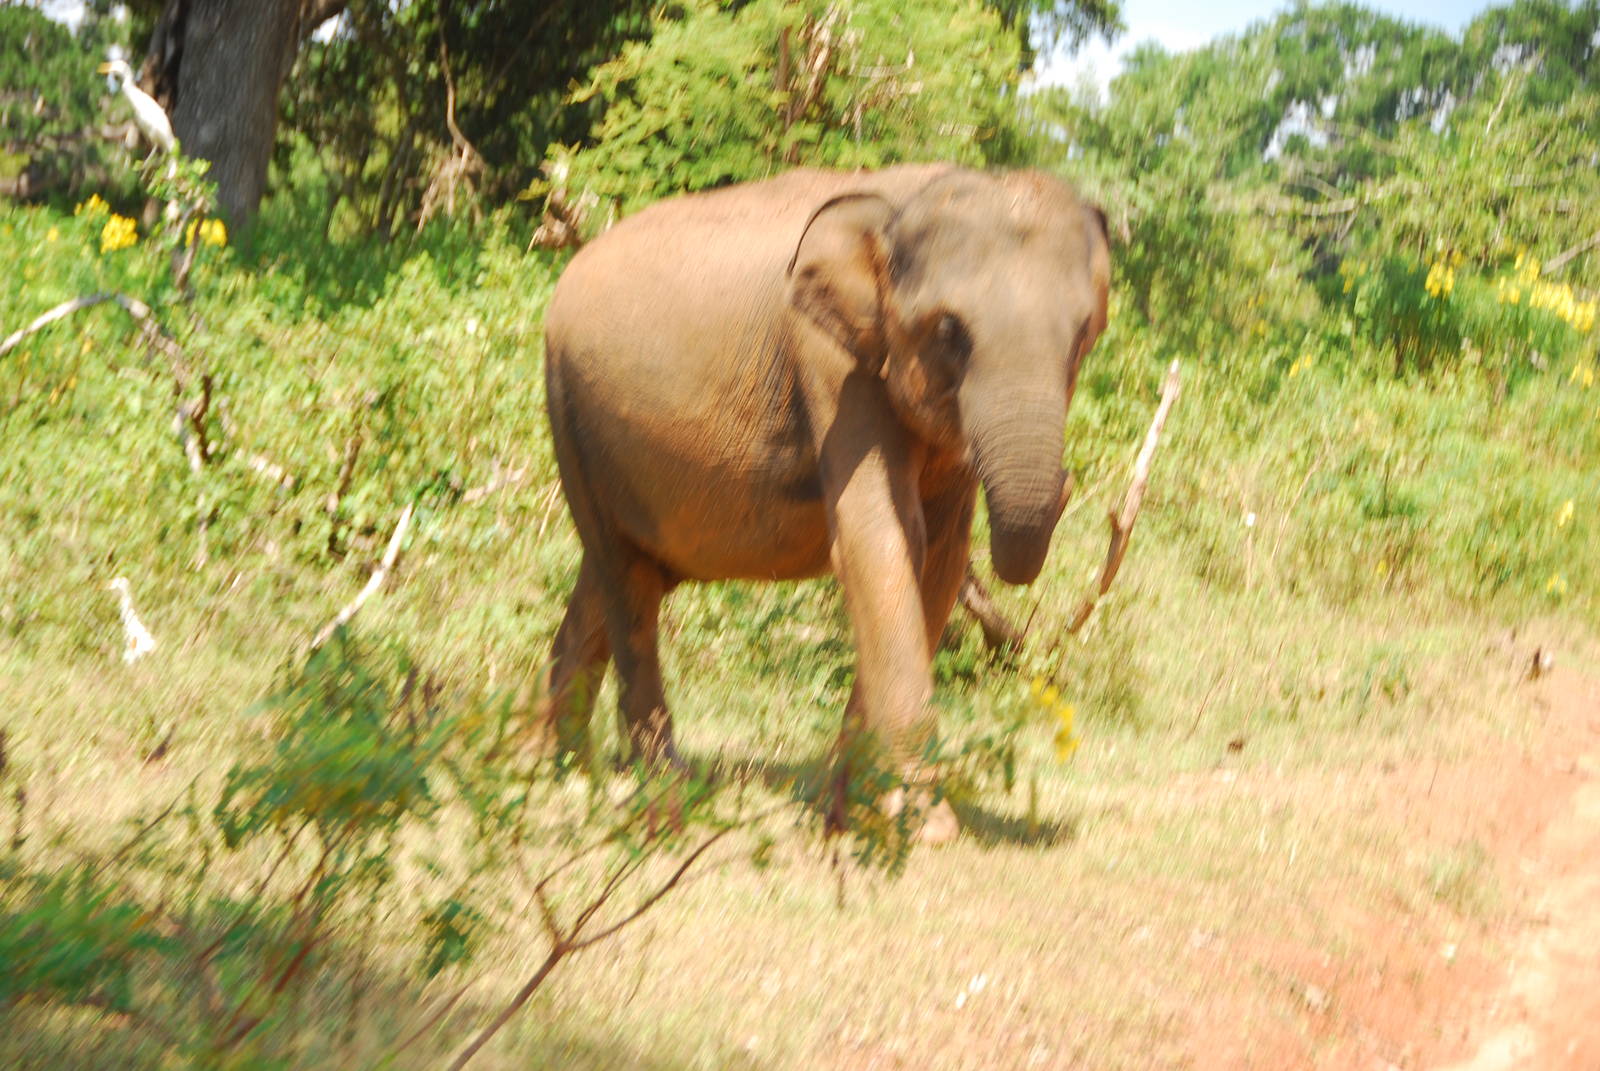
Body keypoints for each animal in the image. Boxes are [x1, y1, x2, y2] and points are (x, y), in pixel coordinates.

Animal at [537, 164, 1110, 842]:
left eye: (1084, 333)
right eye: (950, 331)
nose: (1069, 483)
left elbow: (939, 559)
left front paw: (849, 811)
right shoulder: (832, 364)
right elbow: (883, 536)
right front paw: (924, 826)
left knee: (614, 576)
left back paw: (558, 775)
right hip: (570, 411)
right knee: (626, 583)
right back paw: (665, 804)